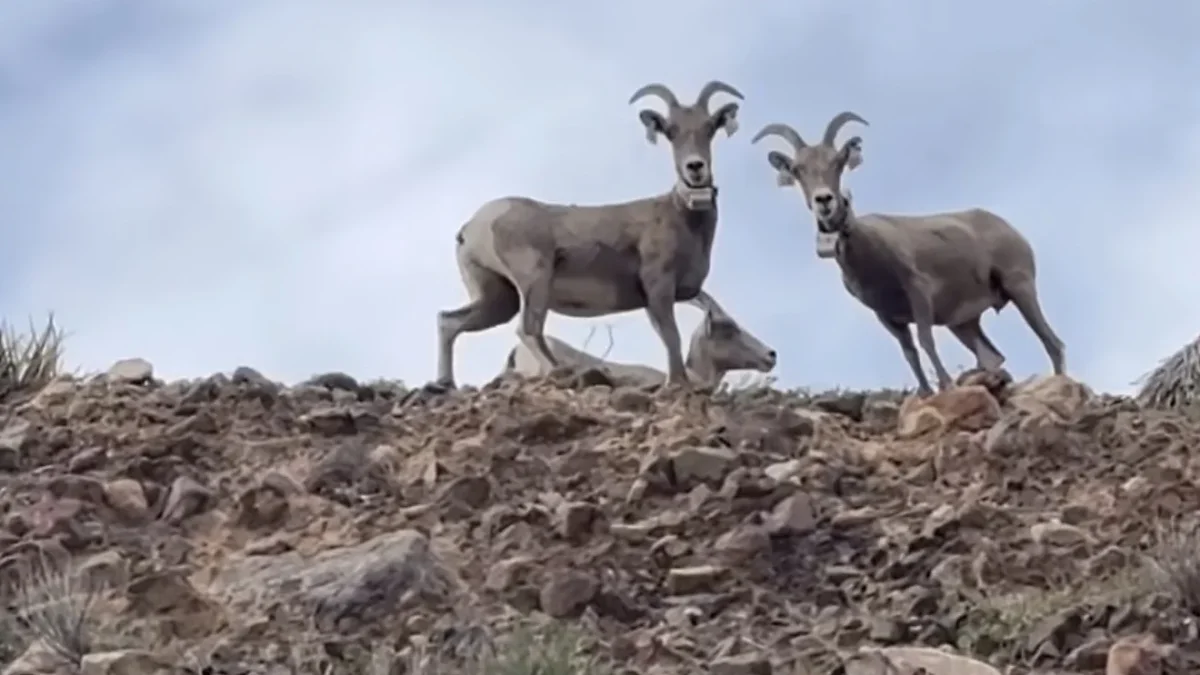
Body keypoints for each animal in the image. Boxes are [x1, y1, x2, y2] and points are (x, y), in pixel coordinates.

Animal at [434, 80, 744, 390]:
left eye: (709, 128)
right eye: (671, 132)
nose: (695, 167)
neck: (683, 217)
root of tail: (471, 227)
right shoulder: (658, 288)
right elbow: (671, 337)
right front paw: (676, 384)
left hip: (498, 300)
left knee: (449, 322)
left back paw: (445, 383)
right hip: (534, 282)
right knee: (527, 329)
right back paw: (561, 372)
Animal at [752, 112, 1066, 396]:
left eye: (838, 161)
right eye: (797, 169)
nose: (824, 200)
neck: (870, 255)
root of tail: (1010, 230)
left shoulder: (919, 294)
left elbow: (926, 340)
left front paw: (946, 385)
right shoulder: (887, 316)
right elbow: (909, 351)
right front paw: (926, 392)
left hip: (1020, 287)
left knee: (1053, 344)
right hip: (963, 324)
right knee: (992, 357)